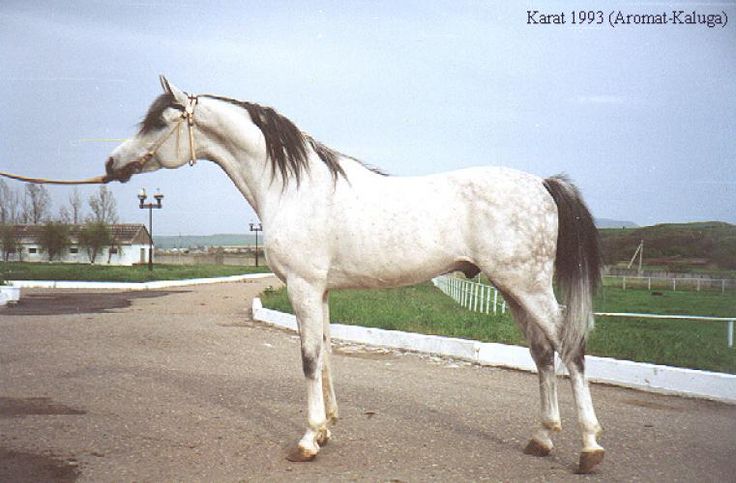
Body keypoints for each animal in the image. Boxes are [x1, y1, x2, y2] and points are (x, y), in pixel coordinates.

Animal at [106, 77, 608, 474]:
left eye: (158, 123)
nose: (112, 164)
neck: (292, 187)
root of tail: (542, 184)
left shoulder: (303, 286)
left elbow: (309, 357)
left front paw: (307, 441)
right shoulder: (321, 291)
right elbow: (327, 352)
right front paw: (326, 429)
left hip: (529, 286)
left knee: (570, 349)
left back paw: (589, 448)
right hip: (511, 289)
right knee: (543, 353)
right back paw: (541, 439)